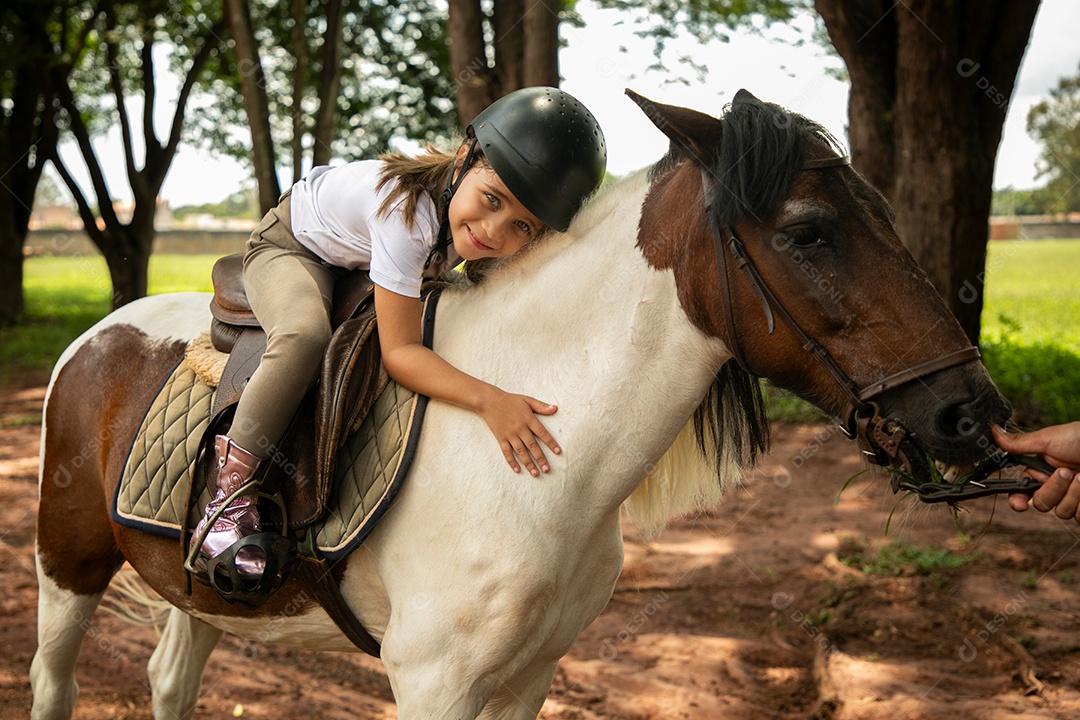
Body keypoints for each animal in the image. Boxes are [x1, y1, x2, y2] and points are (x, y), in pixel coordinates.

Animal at [30, 89, 1010, 719]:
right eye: (809, 232)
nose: (971, 413)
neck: (550, 475)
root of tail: (97, 336)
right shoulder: (432, 683)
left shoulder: (530, 676)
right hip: (64, 565)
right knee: (54, 683)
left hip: (195, 593)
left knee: (169, 679)